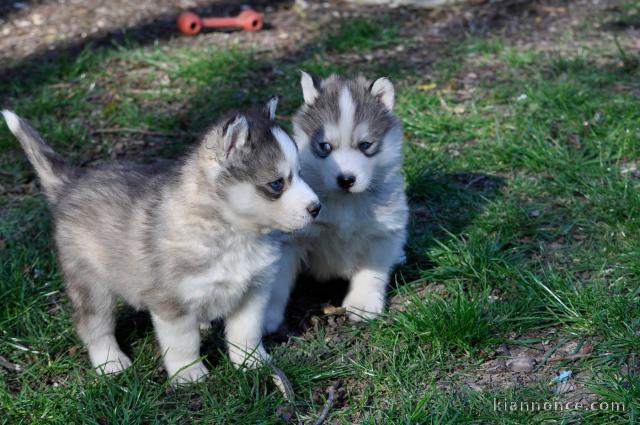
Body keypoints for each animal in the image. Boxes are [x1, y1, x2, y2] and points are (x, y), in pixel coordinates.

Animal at [0, 97, 320, 382]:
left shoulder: (254, 289)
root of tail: (71, 182)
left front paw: (252, 363)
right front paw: (189, 375)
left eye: (301, 173)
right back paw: (110, 362)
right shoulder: (171, 302)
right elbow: (182, 343)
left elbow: (246, 332)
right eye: (276, 184)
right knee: (94, 326)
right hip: (90, 284)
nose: (316, 208)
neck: (234, 233)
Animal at [262, 73, 408, 332]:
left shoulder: (384, 231)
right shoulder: (290, 239)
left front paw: (363, 303)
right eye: (325, 146)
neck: (345, 202)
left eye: (365, 145)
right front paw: (265, 316)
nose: (346, 179)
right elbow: (276, 282)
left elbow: (372, 271)